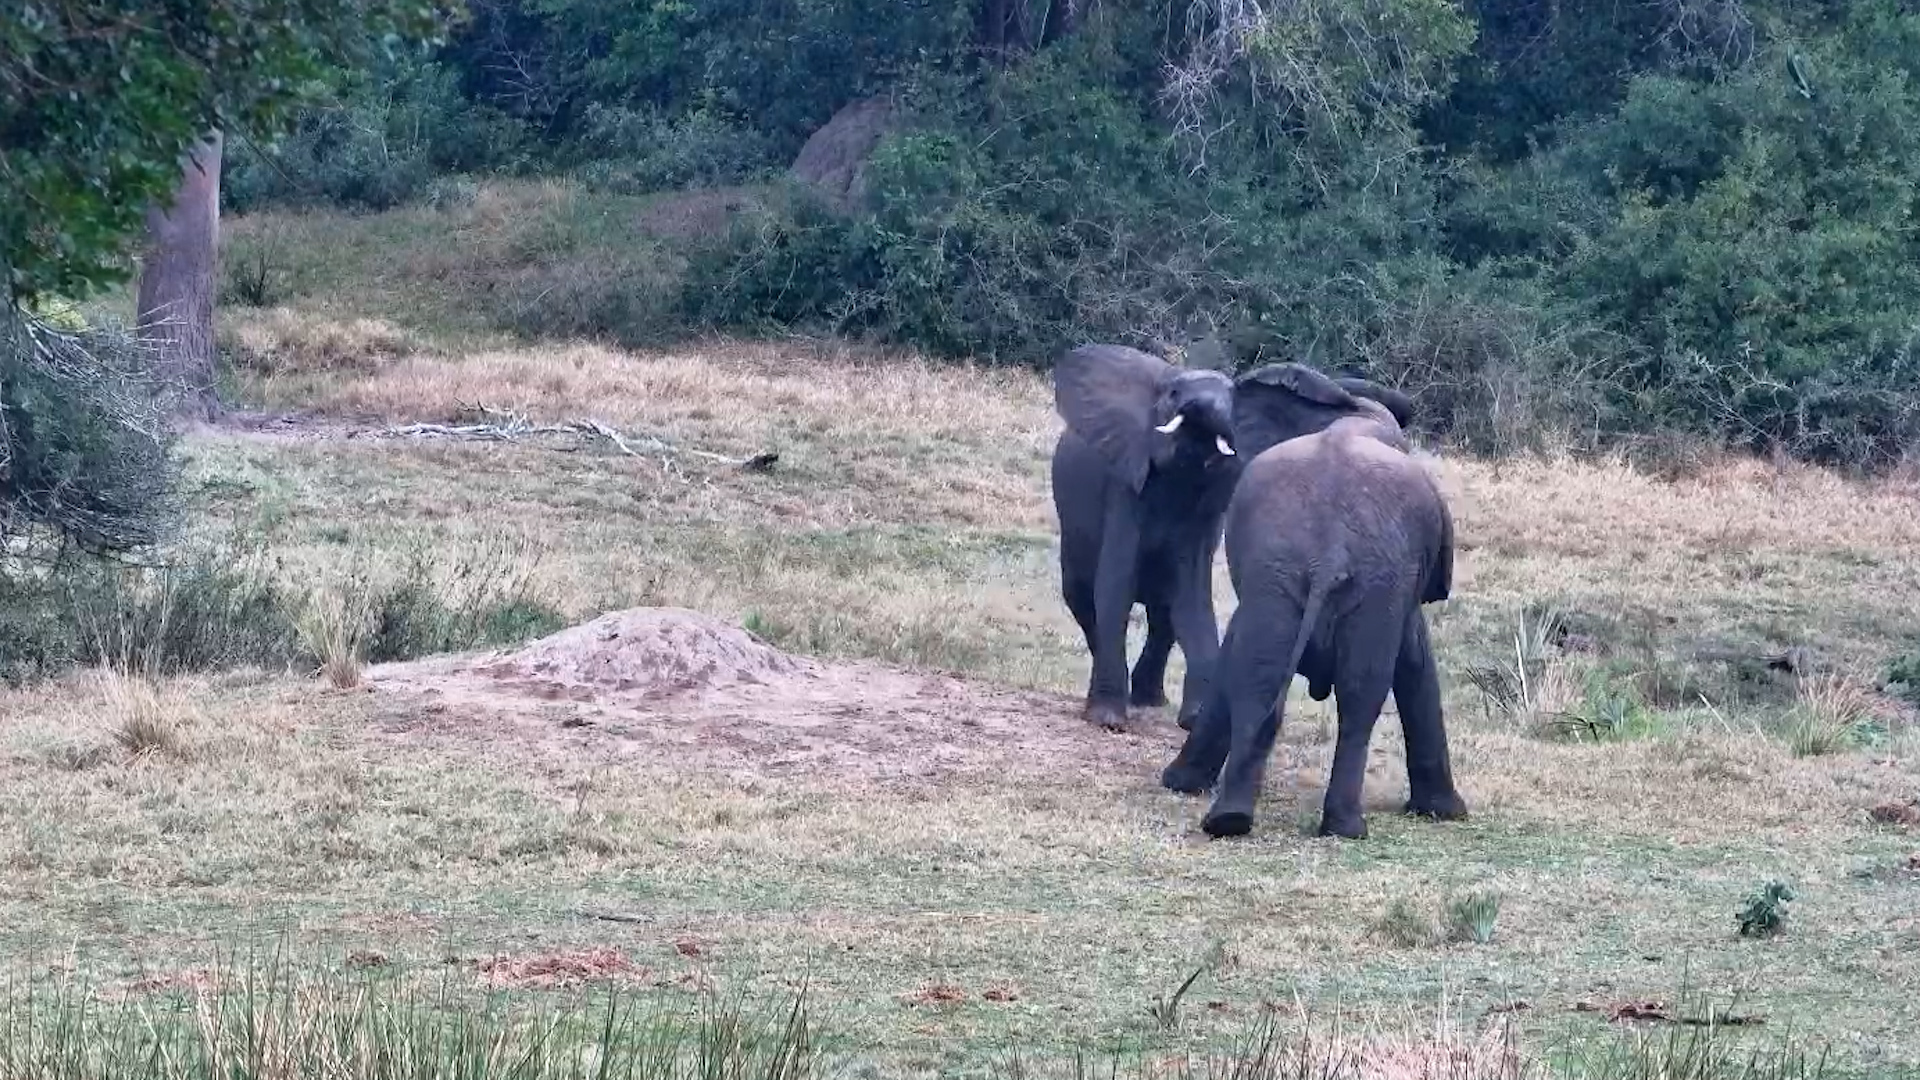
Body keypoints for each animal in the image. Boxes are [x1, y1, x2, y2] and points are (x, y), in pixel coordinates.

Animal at [1049, 343, 1416, 732]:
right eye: (1173, 393)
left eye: (1232, 403)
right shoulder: (1126, 486)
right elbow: (1115, 584)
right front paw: (1107, 720)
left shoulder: (1203, 512)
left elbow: (1192, 595)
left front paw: (1195, 719)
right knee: (1083, 597)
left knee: (1163, 615)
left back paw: (1149, 700)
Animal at [1158, 362, 1467, 841]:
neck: (1347, 410)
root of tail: (1330, 549)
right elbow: (1416, 661)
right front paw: (1447, 812)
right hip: (1354, 579)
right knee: (1352, 693)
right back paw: (1329, 827)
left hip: (1313, 574)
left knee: (1274, 682)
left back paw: (1239, 821)